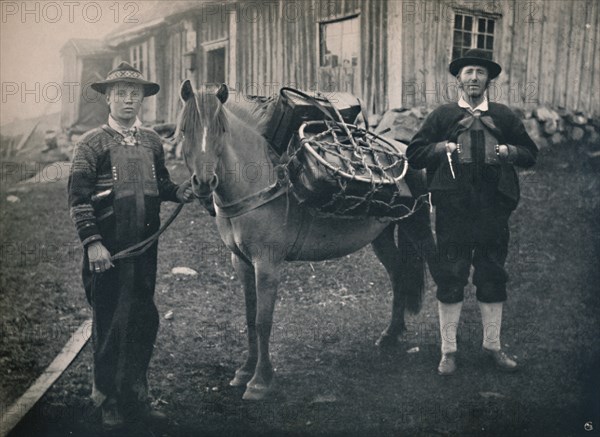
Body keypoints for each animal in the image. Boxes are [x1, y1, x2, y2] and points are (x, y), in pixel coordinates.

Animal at [176, 80, 434, 400]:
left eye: (222, 130)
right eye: (184, 130)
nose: (203, 183)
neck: (259, 180)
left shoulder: (268, 264)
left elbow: (263, 321)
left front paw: (260, 380)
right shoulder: (241, 262)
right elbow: (249, 318)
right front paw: (245, 371)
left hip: (418, 226)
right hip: (382, 236)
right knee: (398, 274)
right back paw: (390, 335)